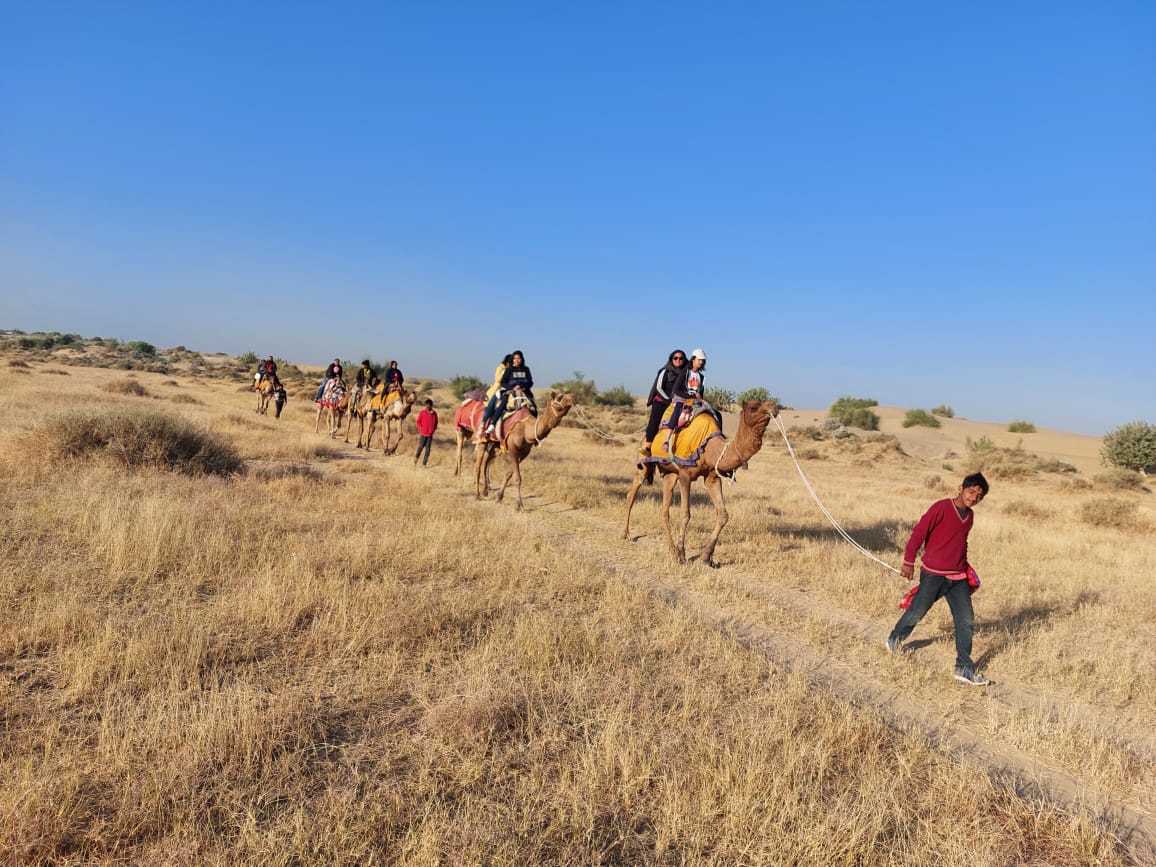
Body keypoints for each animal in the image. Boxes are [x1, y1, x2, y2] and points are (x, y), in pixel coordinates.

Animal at [624, 399, 786, 571]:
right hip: (644, 464)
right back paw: (627, 534)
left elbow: (723, 515)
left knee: (664, 509)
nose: (773, 406)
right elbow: (685, 514)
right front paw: (682, 555)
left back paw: (672, 551)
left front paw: (706, 557)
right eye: (754, 407)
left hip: (670, 474)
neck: (710, 448)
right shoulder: (685, 474)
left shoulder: (712, 477)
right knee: (632, 494)